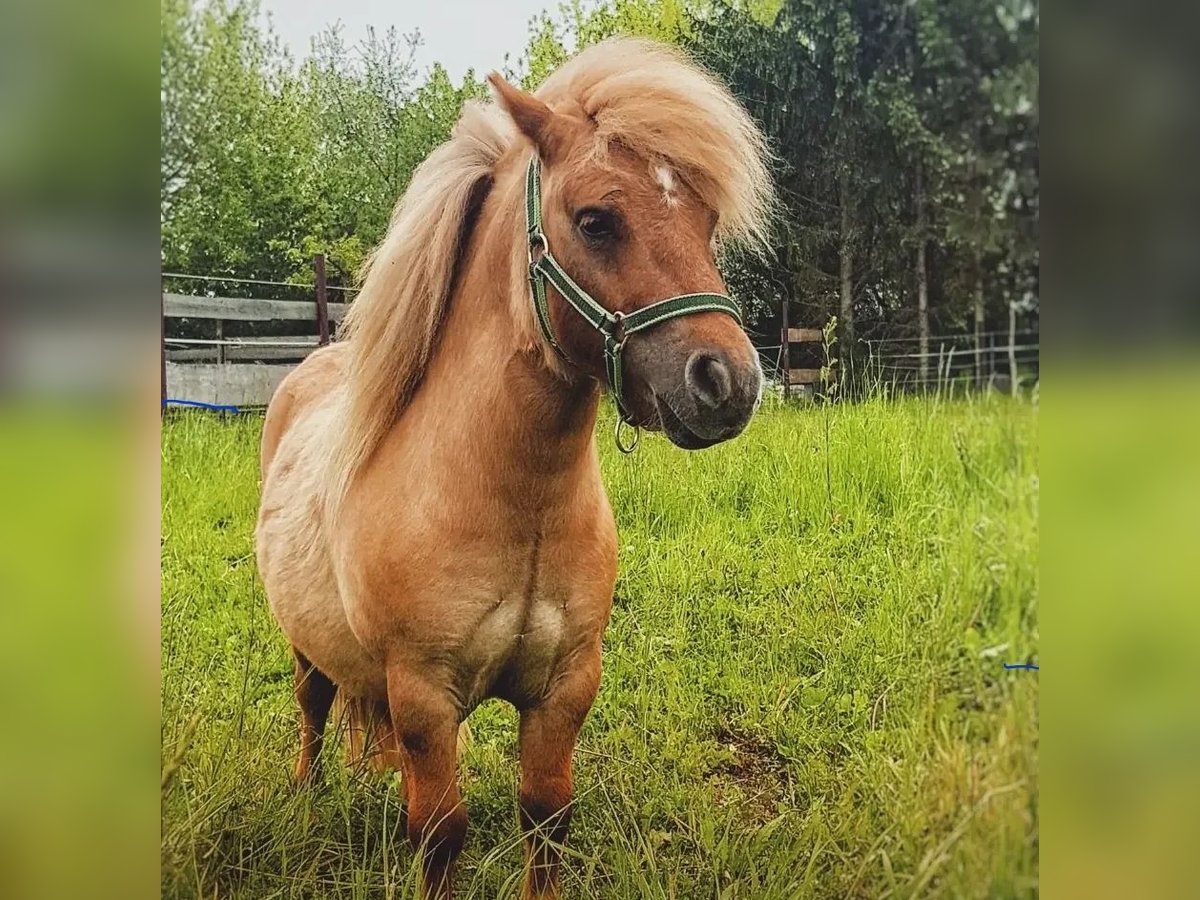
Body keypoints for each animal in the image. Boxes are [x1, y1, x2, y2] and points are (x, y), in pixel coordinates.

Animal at [255, 37, 772, 899]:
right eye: (595, 221)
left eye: (705, 220)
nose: (726, 384)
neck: (509, 502)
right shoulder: (423, 698)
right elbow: (440, 835)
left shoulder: (564, 689)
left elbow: (545, 818)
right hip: (305, 645)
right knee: (312, 705)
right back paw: (304, 794)